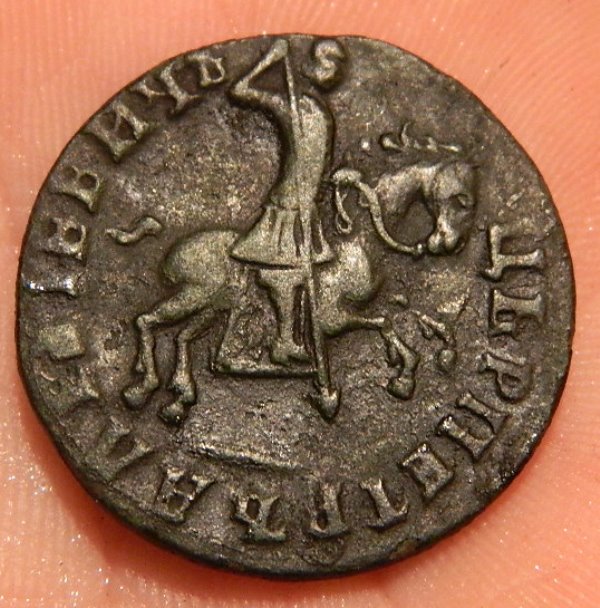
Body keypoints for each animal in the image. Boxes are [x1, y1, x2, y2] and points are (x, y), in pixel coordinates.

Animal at [123, 158, 477, 424]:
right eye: (461, 200)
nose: (448, 244)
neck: (355, 247)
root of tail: (175, 252)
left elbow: (400, 316)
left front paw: (416, 363)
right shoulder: (334, 318)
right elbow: (382, 322)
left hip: (212, 307)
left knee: (180, 337)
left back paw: (178, 396)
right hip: (193, 296)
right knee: (146, 321)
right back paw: (141, 388)